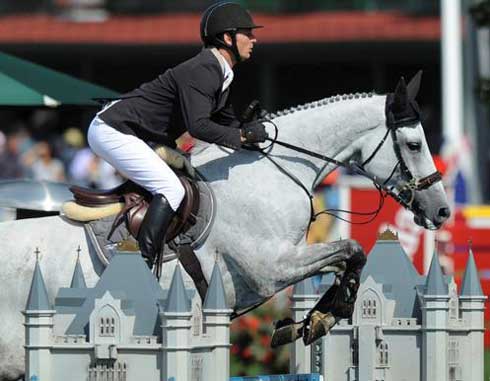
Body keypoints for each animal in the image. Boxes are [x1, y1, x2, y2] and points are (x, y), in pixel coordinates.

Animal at [0, 72, 450, 380]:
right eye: (414, 144)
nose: (443, 211)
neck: (271, 172)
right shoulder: (272, 268)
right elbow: (351, 251)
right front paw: (324, 316)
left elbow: (348, 261)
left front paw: (311, 321)